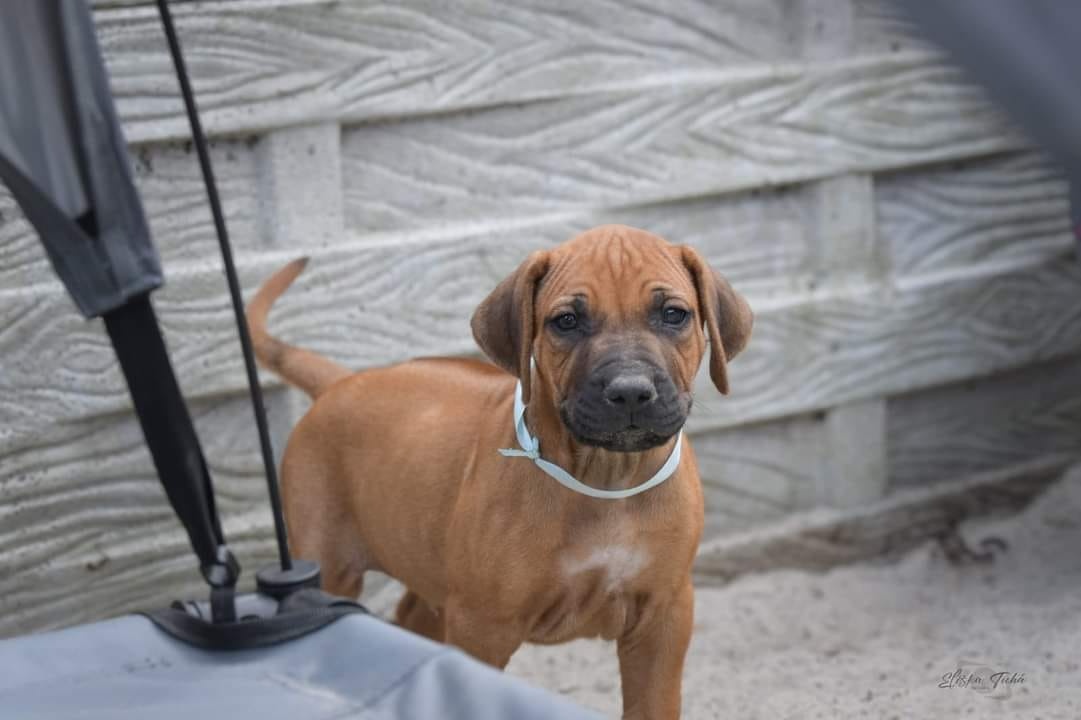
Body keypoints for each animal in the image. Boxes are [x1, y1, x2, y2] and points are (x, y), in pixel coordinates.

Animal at [247, 222, 752, 713]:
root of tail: (341, 382)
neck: (606, 477)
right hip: (329, 561)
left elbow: (653, 704)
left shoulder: (664, 616)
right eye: (566, 321)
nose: (629, 391)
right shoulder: (482, 626)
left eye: (674, 315)